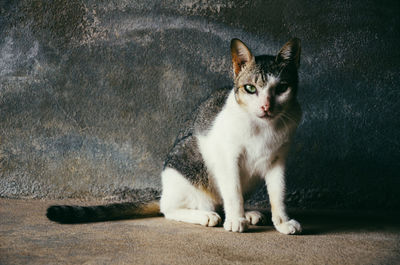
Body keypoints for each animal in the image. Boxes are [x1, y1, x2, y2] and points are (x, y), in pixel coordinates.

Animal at [47, 37, 302, 233]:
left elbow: (278, 194)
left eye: (281, 88)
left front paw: (282, 222)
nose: (266, 107)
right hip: (188, 160)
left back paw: (247, 213)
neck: (263, 128)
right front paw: (235, 220)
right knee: (169, 209)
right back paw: (207, 215)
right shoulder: (228, 159)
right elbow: (233, 194)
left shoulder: (279, 160)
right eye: (250, 88)